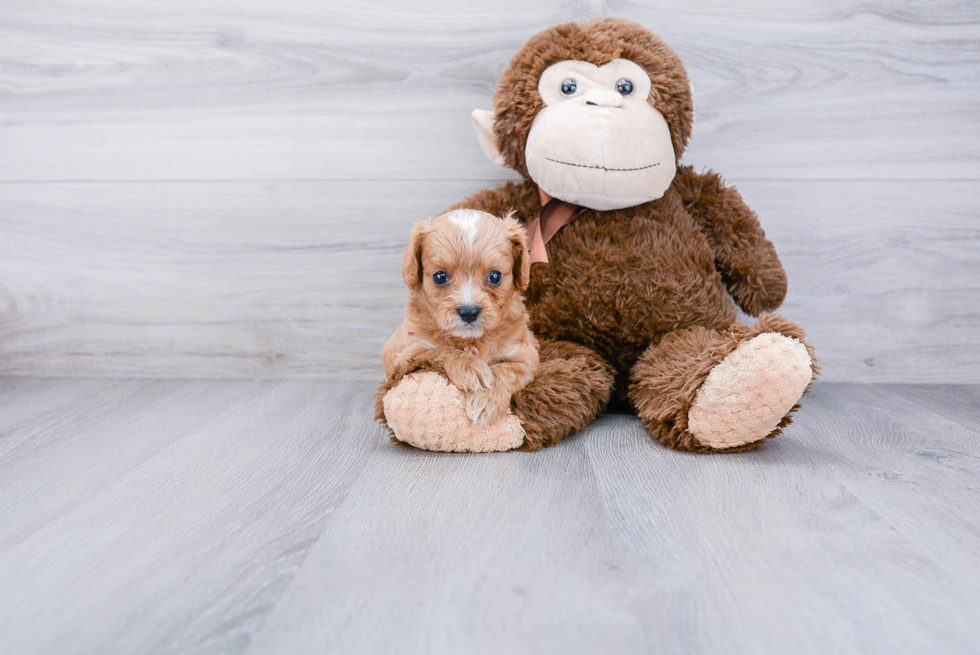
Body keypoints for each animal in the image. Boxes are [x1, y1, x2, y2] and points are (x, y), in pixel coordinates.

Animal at [382, 209, 540, 426]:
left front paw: (486, 399)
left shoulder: (527, 357)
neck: (472, 340)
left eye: (495, 276)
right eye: (440, 277)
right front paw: (471, 367)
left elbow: (505, 371)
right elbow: (440, 350)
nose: (468, 312)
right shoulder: (406, 355)